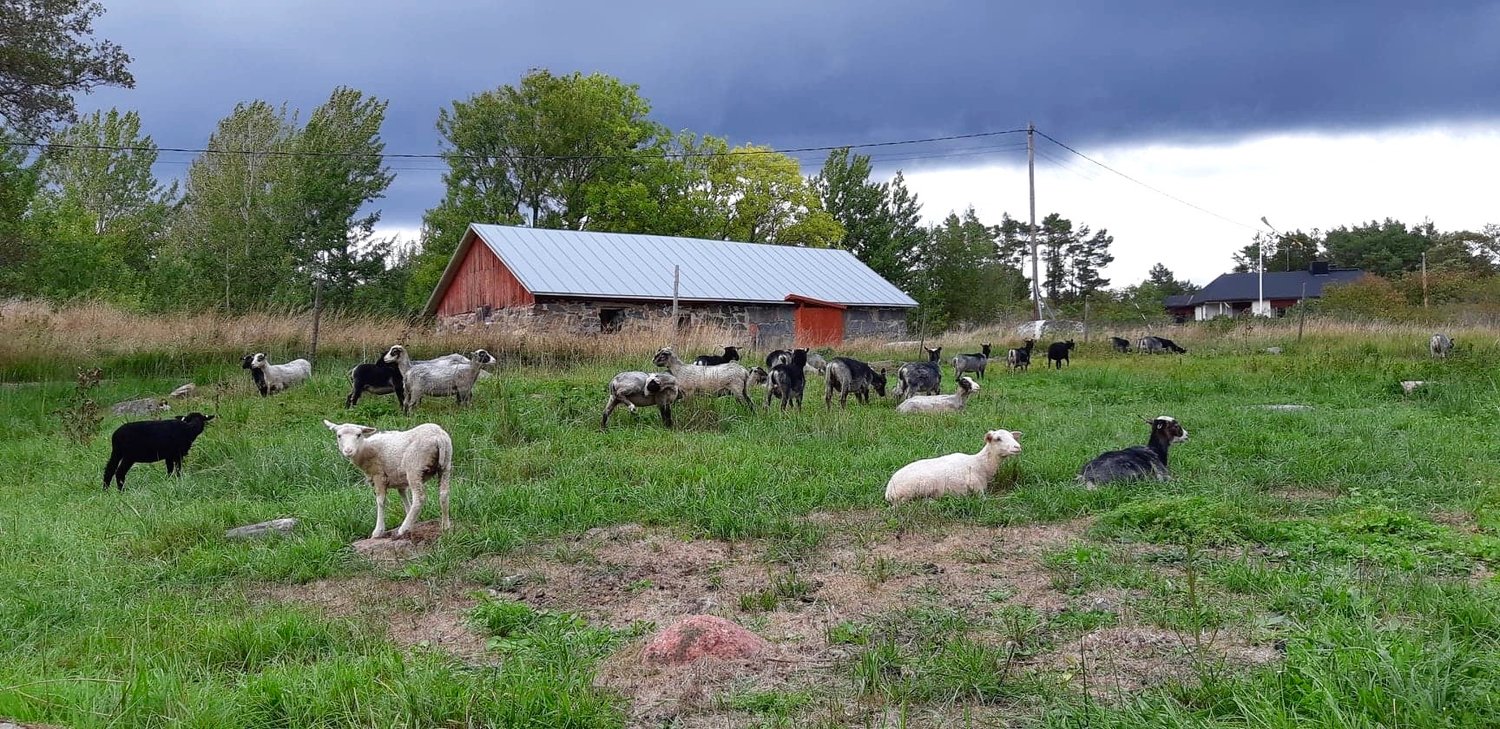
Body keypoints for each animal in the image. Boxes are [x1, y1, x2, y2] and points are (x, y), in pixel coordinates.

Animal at [322, 420, 450, 537]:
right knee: (444, 494)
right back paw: (445, 526)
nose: (348, 451)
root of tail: (438, 436)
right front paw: (412, 520)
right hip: (446, 464)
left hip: (414, 467)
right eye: (339, 436)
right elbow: (403, 496)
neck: (364, 450)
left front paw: (378, 530)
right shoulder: (399, 479)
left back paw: (403, 529)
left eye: (358, 435)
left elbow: (381, 501)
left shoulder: (379, 475)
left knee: (419, 498)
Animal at [882, 429, 1026, 504]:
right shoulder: (976, 487)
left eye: (1013, 436)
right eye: (998, 439)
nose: (1017, 447)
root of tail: (889, 491)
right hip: (915, 490)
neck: (981, 464)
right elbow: (985, 499)